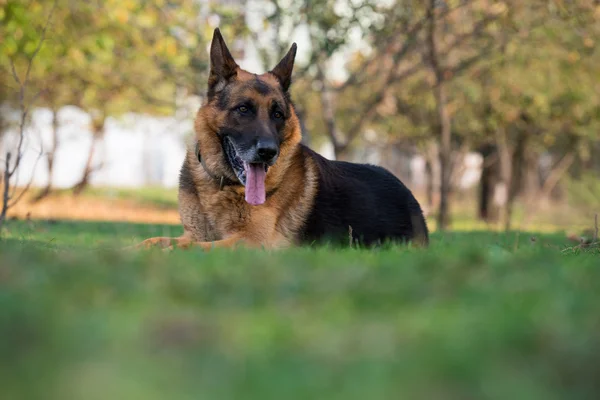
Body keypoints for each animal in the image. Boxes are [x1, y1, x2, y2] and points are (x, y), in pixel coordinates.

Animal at [137, 28, 426, 250]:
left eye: (278, 114)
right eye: (244, 109)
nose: (268, 152)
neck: (221, 185)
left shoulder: (250, 242)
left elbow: (188, 248)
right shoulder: (194, 234)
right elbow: (153, 241)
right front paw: (130, 251)